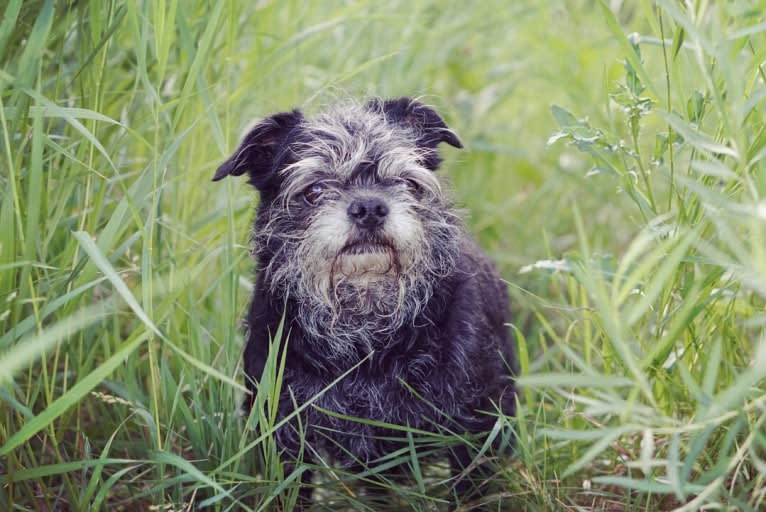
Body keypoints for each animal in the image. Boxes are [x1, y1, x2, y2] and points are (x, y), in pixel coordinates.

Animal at [213, 97, 520, 508]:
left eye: (407, 182)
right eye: (314, 189)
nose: (370, 207)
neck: (365, 330)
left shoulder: (477, 431)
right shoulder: (283, 439)